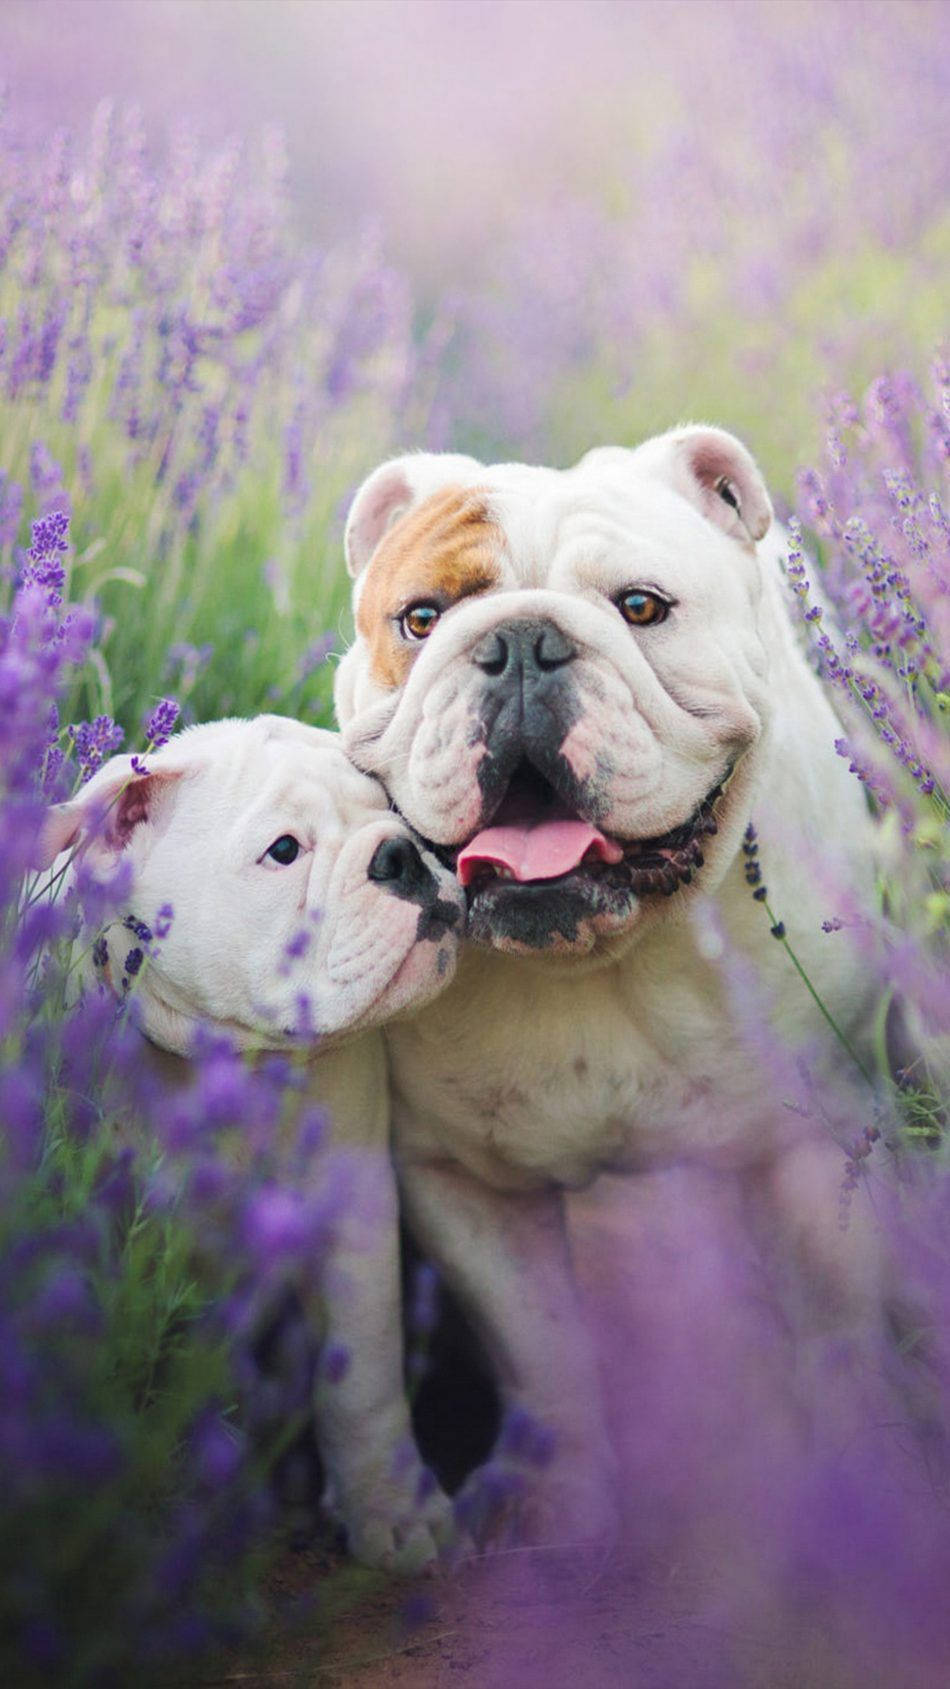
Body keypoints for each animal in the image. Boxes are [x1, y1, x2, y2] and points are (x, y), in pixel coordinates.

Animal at [40, 712, 463, 1567]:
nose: (401, 852)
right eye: (284, 850)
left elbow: (363, 1378)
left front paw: (395, 1508)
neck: (230, 1064)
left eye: (392, 807)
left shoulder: (351, 1219)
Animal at [333, 425, 892, 1547]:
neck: (592, 958)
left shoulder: (814, 1147)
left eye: (640, 606)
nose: (518, 646)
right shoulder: (467, 1189)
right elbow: (542, 1349)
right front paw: (567, 1497)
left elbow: (835, 1324)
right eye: (420, 619)